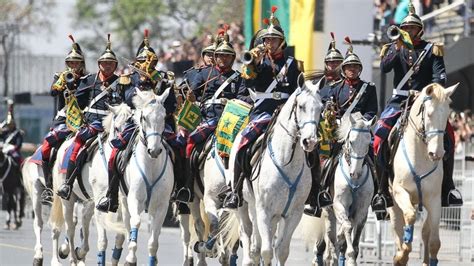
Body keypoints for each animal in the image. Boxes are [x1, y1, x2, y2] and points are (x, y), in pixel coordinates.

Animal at [48, 101, 131, 264]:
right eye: (117, 127)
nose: (122, 149)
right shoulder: (100, 201)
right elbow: (103, 238)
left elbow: (120, 236)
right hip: (68, 199)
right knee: (70, 228)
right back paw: (72, 257)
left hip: (89, 199)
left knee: (85, 219)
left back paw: (80, 252)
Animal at [119, 88, 175, 264]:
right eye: (144, 117)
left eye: (164, 116)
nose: (154, 150)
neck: (150, 166)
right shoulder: (134, 199)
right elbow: (135, 222)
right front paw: (131, 258)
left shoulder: (161, 205)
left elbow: (154, 240)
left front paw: (152, 259)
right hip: (124, 202)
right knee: (128, 223)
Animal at [221, 81, 322, 266]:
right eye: (301, 106)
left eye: (321, 107)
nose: (310, 142)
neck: (287, 161)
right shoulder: (264, 211)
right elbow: (267, 251)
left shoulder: (293, 214)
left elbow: (281, 251)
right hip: (244, 205)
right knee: (247, 234)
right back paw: (247, 259)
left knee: (257, 245)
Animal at [322, 112, 374, 266]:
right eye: (351, 141)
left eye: (368, 143)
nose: (355, 173)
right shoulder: (339, 205)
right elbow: (347, 228)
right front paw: (350, 257)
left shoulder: (362, 210)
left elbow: (355, 241)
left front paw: (352, 258)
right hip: (328, 212)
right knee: (331, 240)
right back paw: (331, 258)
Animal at [390, 83, 458, 266]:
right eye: (429, 114)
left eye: (447, 115)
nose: (437, 153)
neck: (420, 155)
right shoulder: (399, 191)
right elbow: (409, 217)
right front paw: (402, 254)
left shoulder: (434, 200)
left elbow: (434, 242)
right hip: (392, 202)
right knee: (397, 227)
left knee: (425, 231)